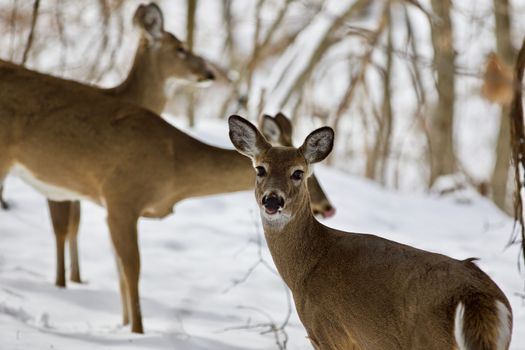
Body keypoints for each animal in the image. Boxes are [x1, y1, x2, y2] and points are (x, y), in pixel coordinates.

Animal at [228, 115, 512, 350]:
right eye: (260, 169)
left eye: (298, 173)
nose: (272, 200)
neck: (308, 266)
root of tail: (481, 297)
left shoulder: (331, 331)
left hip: (430, 340)